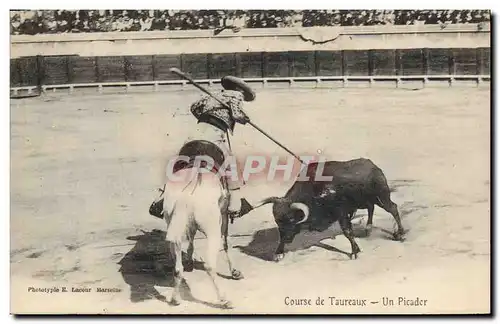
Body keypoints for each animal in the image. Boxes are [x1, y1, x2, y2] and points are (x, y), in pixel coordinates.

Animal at [242, 158, 406, 262]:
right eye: (277, 221)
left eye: (291, 220)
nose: (288, 239)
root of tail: (373, 166)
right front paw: (278, 253)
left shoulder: (342, 213)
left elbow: (347, 232)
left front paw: (354, 252)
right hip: (365, 201)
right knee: (371, 208)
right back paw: (368, 228)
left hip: (381, 197)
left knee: (393, 209)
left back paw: (400, 234)